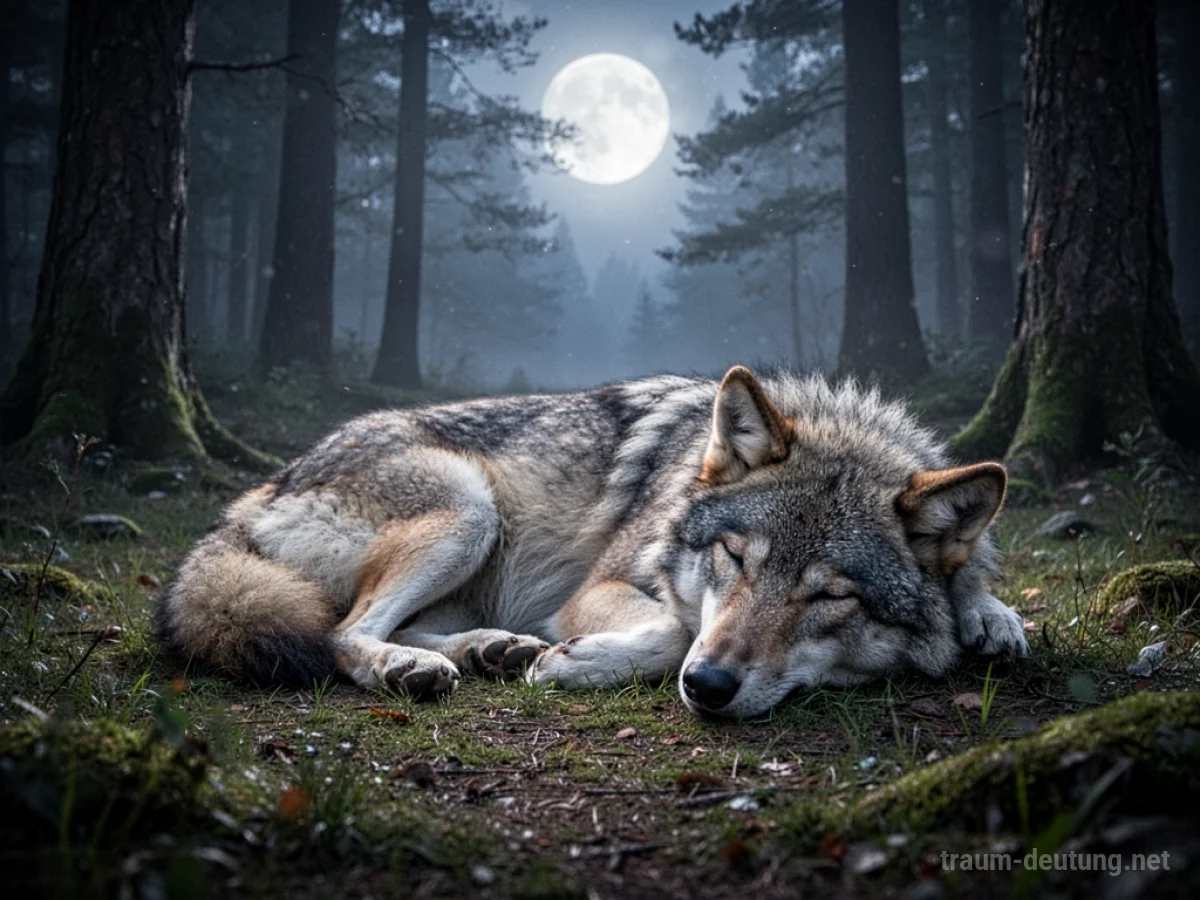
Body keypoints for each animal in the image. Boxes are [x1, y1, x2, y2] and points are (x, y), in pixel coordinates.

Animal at [157, 366, 1027, 718]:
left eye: (831, 595)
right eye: (734, 559)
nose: (711, 686)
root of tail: (255, 494)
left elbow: (977, 593)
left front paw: (991, 617)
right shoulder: (603, 590)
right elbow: (676, 627)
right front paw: (579, 663)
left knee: (403, 626)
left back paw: (490, 650)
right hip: (467, 510)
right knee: (342, 632)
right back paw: (418, 668)